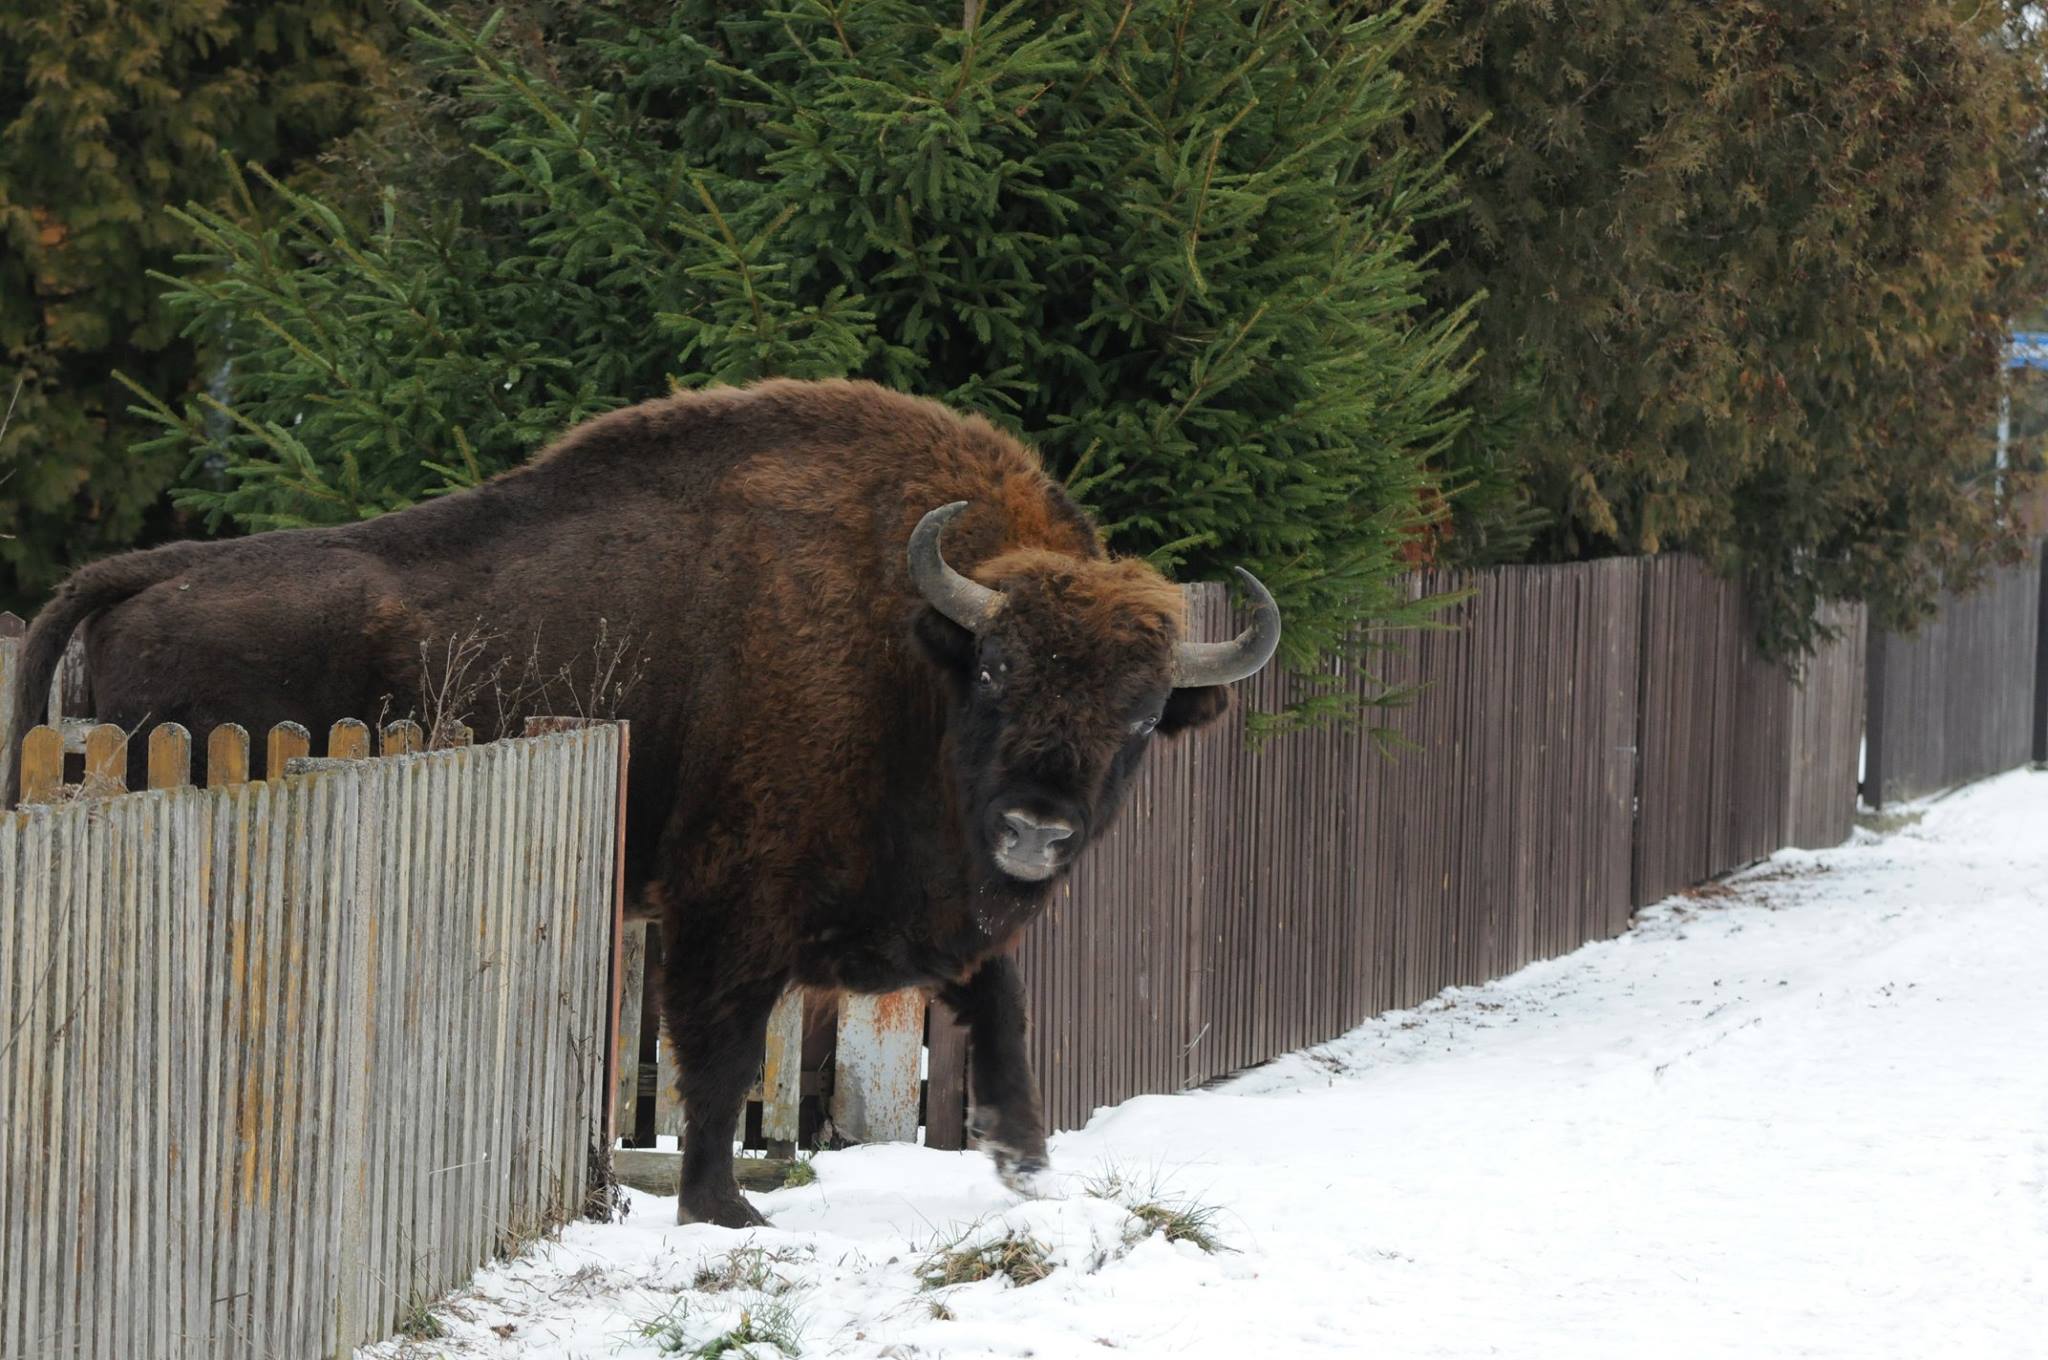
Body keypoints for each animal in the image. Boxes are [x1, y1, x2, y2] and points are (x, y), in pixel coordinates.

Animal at [6, 378, 1279, 1227]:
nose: (1034, 830)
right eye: (999, 669)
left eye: (1139, 713)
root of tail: (155, 571)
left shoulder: (930, 912)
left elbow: (998, 1009)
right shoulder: (731, 908)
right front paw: (726, 1210)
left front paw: (1025, 1162)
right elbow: (716, 1056)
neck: (912, 645)